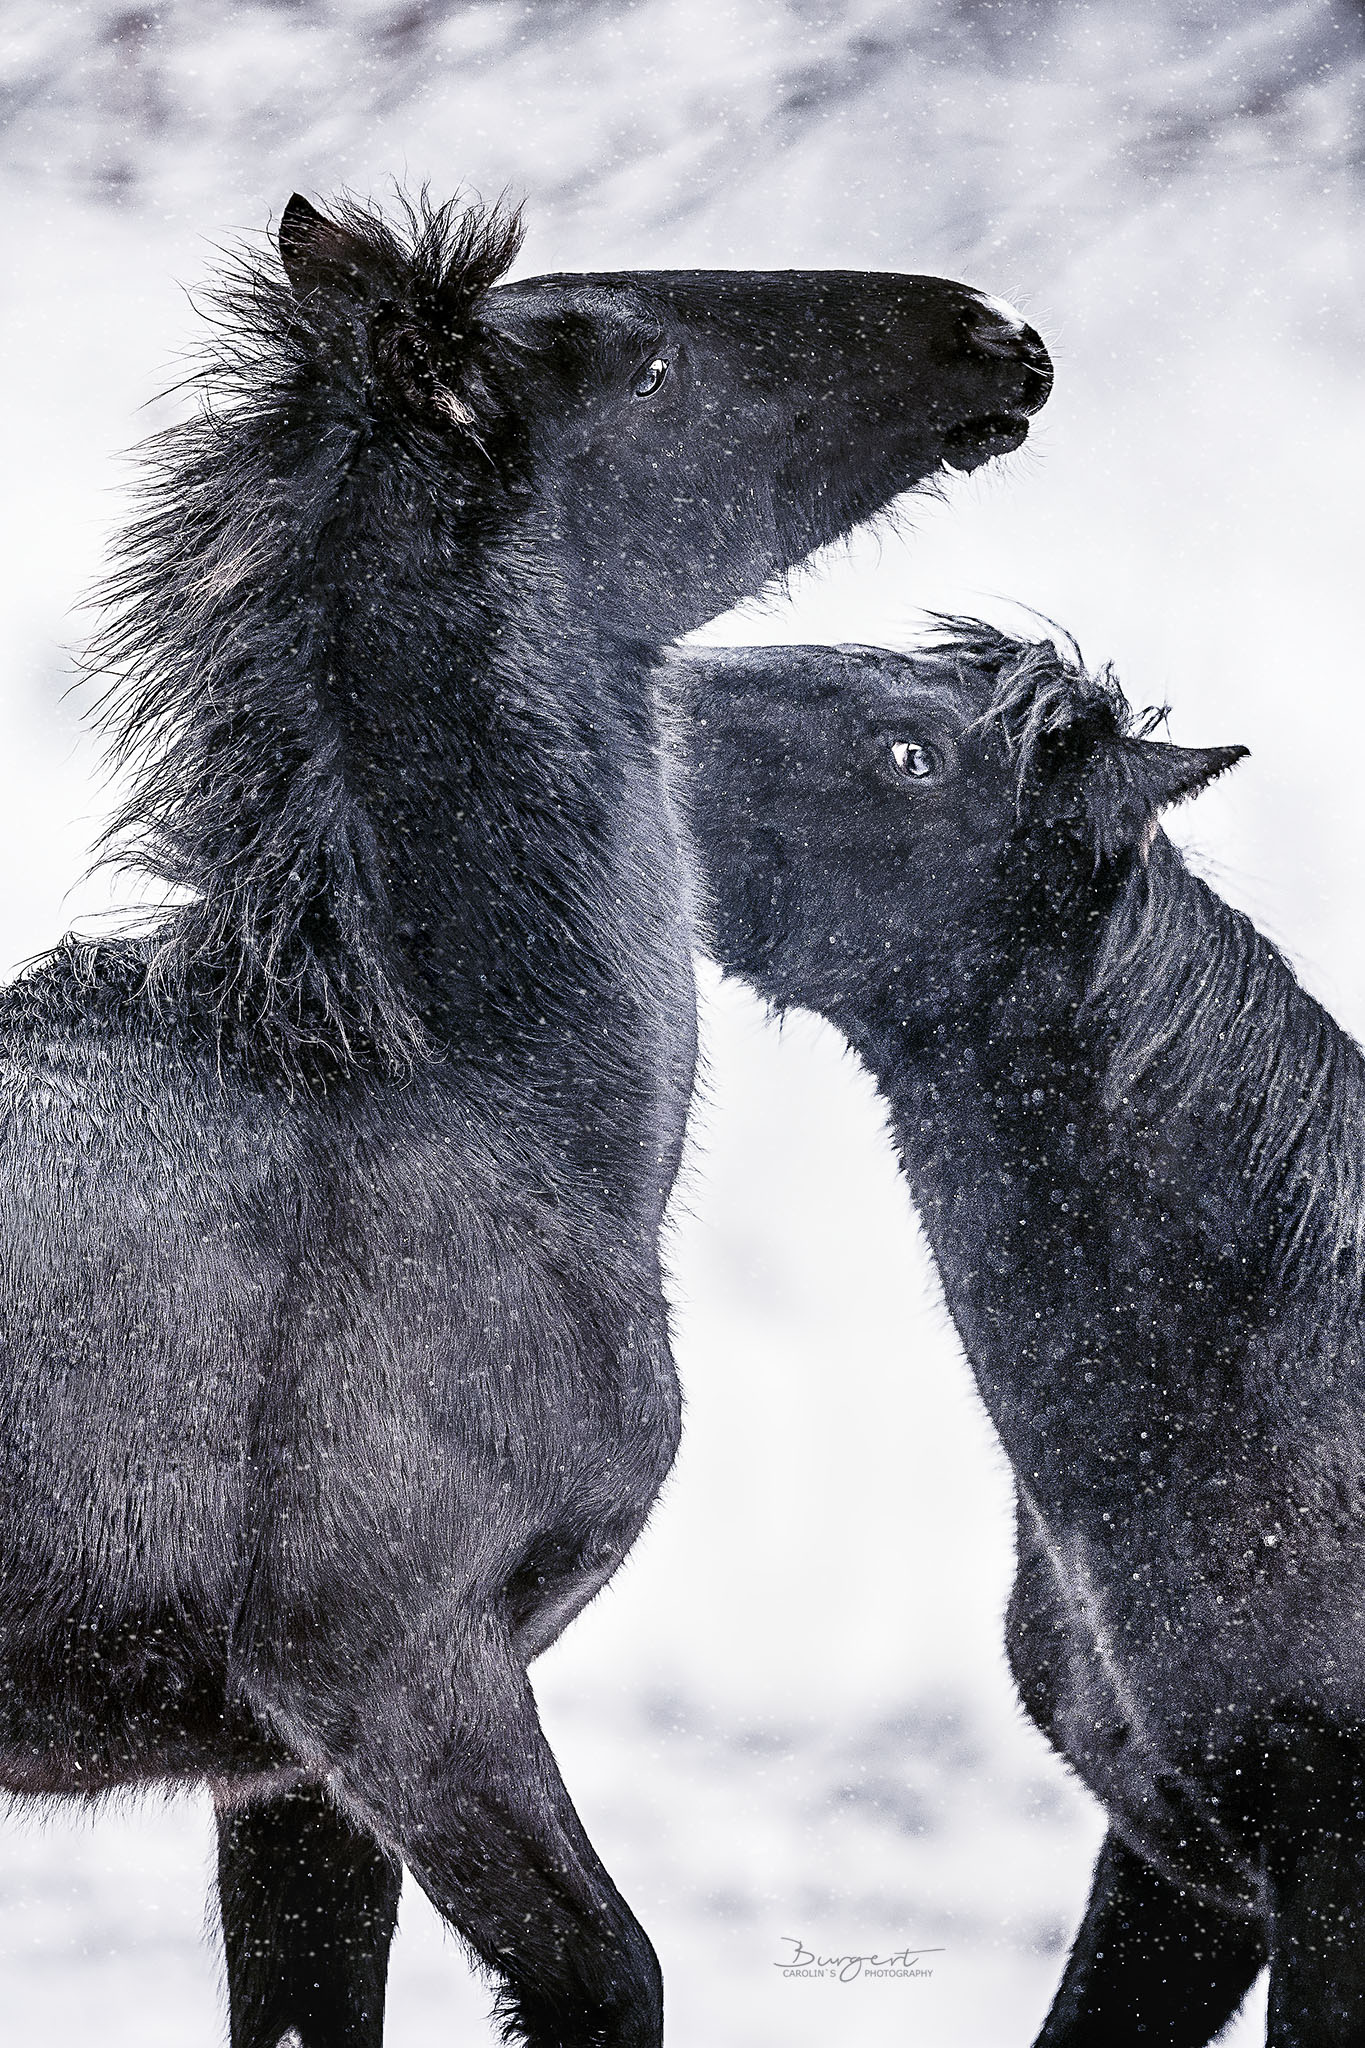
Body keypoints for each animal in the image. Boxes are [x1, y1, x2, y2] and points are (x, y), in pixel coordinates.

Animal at [0, 195, 1055, 2048]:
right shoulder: (393, 1671)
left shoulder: (278, 1771)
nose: (996, 338)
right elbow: (608, 1971)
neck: (511, 1107)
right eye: (643, 358)